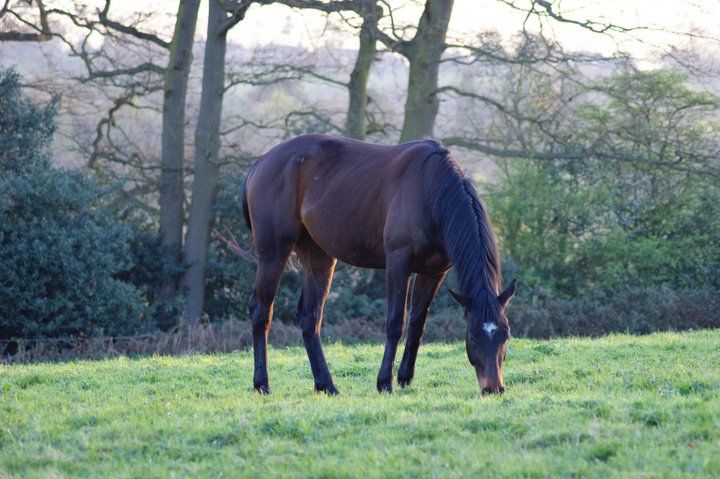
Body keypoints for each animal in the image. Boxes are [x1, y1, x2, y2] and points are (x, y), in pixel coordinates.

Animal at [243, 134, 516, 395]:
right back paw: (262, 384)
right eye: (472, 336)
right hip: (274, 252)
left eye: (506, 334)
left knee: (310, 317)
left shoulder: (433, 272)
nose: (493, 388)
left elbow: (417, 323)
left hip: (318, 257)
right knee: (262, 312)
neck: (431, 190)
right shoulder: (398, 264)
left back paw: (326, 385)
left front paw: (405, 377)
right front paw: (384, 382)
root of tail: (263, 161)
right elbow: (395, 323)